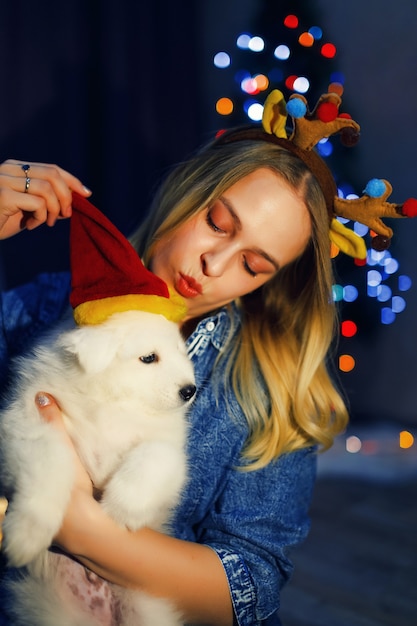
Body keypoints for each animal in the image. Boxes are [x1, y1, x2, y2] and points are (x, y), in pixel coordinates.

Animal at [0, 308, 195, 624]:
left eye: (181, 352)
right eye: (149, 358)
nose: (190, 390)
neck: (114, 402)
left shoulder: (170, 450)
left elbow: (156, 454)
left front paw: (122, 506)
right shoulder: (30, 423)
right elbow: (47, 465)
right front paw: (27, 533)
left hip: (148, 611)